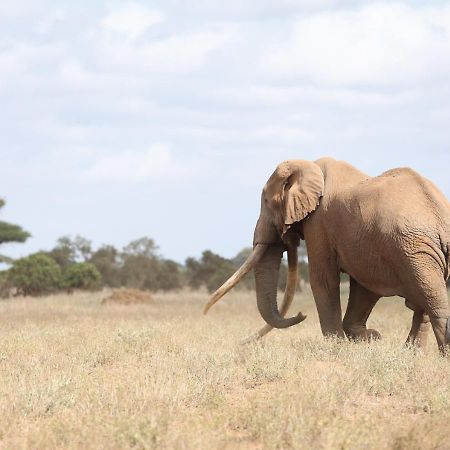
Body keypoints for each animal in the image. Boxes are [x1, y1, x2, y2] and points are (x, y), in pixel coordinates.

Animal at [204, 159, 450, 356]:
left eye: (266, 203)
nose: (301, 314)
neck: (309, 167)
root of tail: (439, 213)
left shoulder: (319, 223)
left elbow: (323, 279)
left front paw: (338, 346)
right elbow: (364, 286)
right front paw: (369, 338)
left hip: (413, 249)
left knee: (432, 302)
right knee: (423, 304)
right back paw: (413, 354)